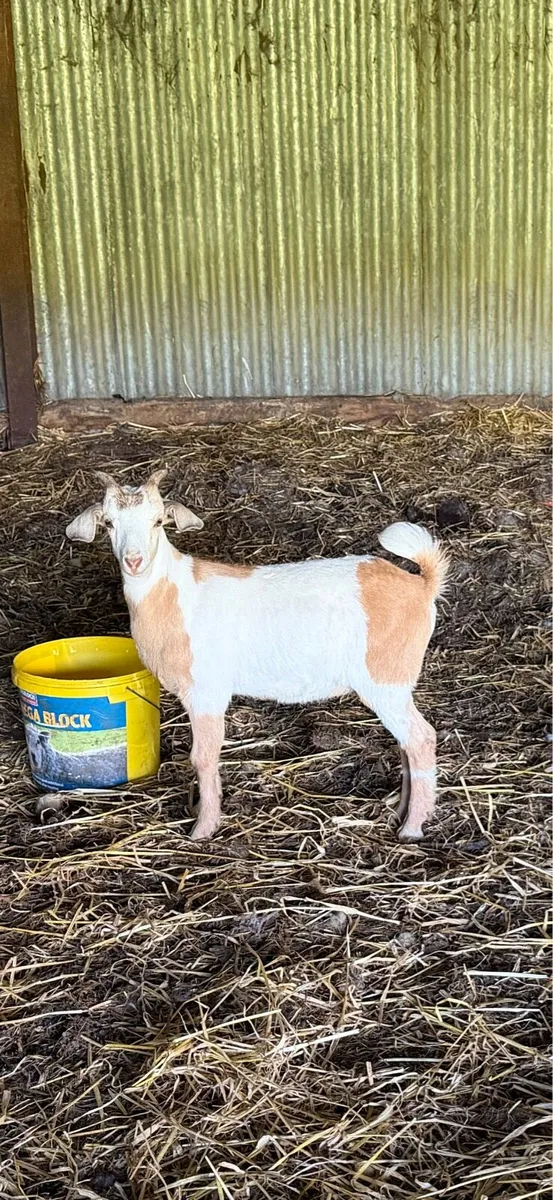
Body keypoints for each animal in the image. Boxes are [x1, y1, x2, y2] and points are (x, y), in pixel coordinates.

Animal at [66, 470, 448, 841]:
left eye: (159, 521)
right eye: (109, 523)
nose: (134, 561)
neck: (168, 593)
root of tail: (422, 585)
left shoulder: (206, 693)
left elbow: (203, 757)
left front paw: (203, 829)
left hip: (385, 678)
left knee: (421, 738)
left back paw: (412, 828)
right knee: (405, 743)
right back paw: (401, 812)